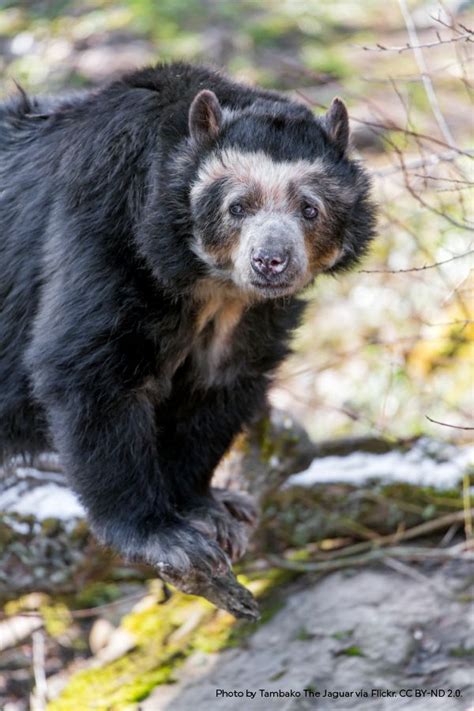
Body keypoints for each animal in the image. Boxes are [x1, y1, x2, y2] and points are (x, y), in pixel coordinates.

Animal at [0, 61, 378, 580]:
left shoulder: (251, 313)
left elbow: (221, 384)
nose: (270, 261)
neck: (207, 280)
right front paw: (161, 534)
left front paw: (211, 509)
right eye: (237, 206)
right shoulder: (103, 227)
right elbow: (88, 368)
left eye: (309, 208)